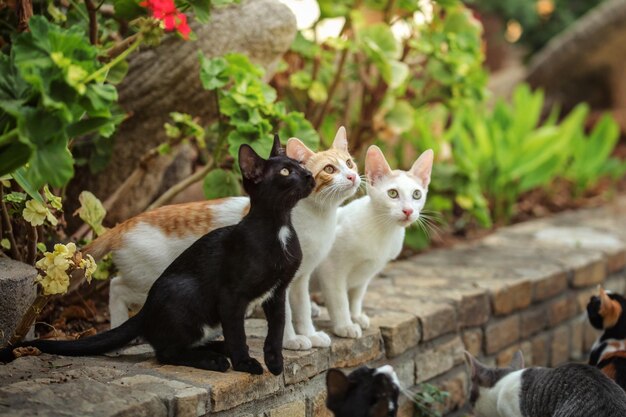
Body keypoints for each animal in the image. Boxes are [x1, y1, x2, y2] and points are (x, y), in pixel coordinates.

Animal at [0, 138, 312, 376]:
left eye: (302, 165)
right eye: (286, 172)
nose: (309, 176)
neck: (279, 228)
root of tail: (146, 310)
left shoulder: (277, 293)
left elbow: (276, 330)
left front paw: (275, 362)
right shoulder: (232, 295)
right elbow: (239, 334)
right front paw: (245, 363)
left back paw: (216, 349)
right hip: (183, 292)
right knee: (166, 351)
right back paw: (214, 359)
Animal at [83, 127, 358, 352]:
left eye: (350, 163)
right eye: (329, 169)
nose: (353, 177)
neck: (318, 217)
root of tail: (125, 223)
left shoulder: (300, 278)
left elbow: (301, 309)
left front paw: (310, 334)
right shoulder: (281, 283)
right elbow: (287, 314)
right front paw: (291, 341)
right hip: (151, 279)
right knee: (116, 286)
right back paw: (119, 329)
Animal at [314, 146, 432, 338]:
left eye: (416, 194)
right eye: (392, 193)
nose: (408, 211)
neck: (383, 231)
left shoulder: (366, 273)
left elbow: (356, 296)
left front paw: (356, 316)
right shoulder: (330, 269)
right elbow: (339, 299)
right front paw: (345, 325)